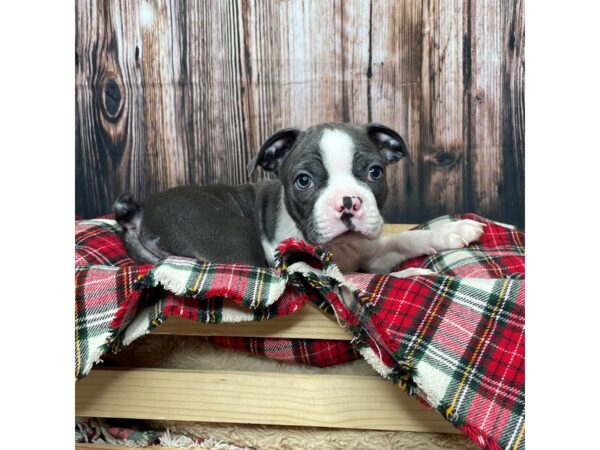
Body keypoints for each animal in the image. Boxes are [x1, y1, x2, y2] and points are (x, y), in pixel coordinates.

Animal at [115, 123, 486, 274]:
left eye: (375, 173)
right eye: (303, 181)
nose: (348, 202)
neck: (342, 250)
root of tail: (140, 212)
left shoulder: (371, 252)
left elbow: (405, 239)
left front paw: (451, 231)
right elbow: (377, 279)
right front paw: (414, 276)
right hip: (232, 241)